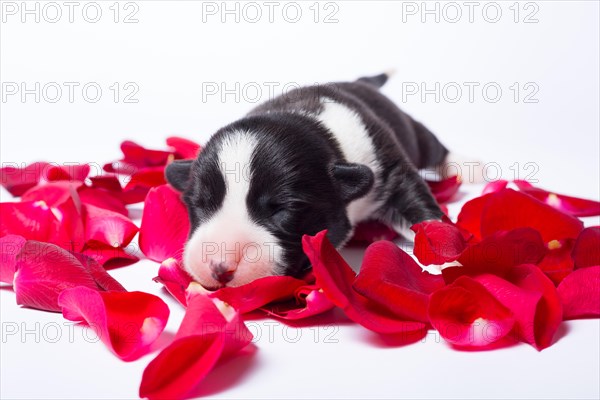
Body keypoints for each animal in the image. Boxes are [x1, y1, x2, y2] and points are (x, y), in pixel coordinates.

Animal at [164, 72, 450, 290]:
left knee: (434, 146)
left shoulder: (390, 170)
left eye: (283, 209)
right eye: (199, 205)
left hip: (412, 133)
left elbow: (421, 211)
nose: (219, 266)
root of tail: (359, 82)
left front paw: (449, 263)